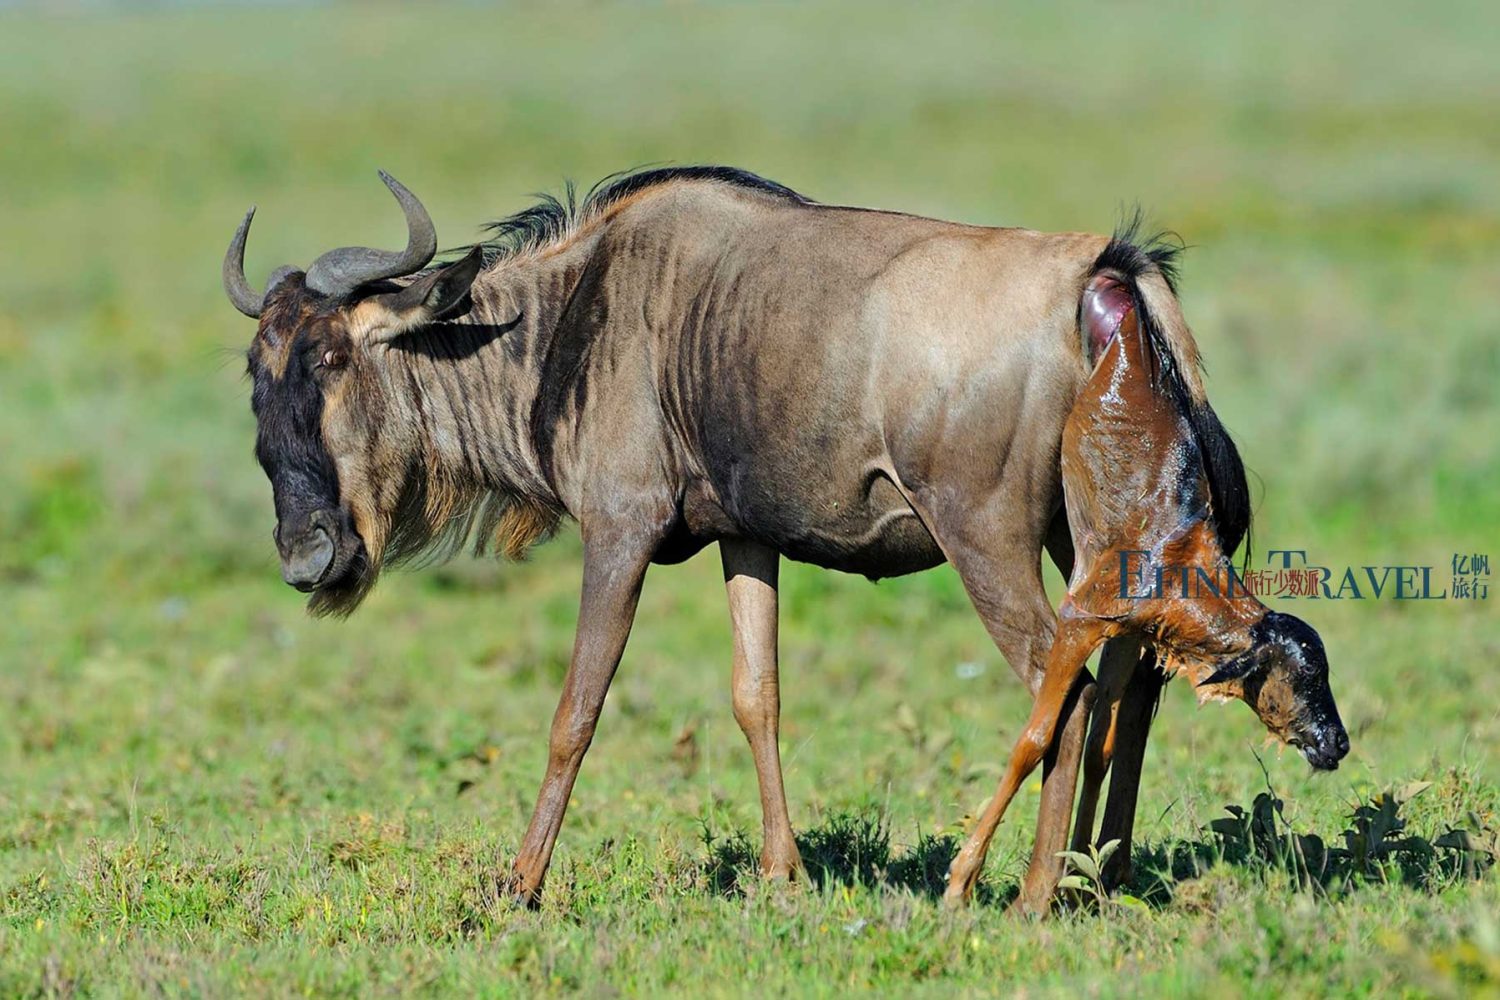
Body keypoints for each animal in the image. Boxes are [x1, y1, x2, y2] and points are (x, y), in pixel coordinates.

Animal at [936, 263, 1350, 905]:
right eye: (1304, 677)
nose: (1337, 743)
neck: (1173, 561)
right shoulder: (1079, 621)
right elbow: (1034, 741)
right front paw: (962, 880)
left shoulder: (1129, 636)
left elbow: (1101, 745)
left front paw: (1080, 876)